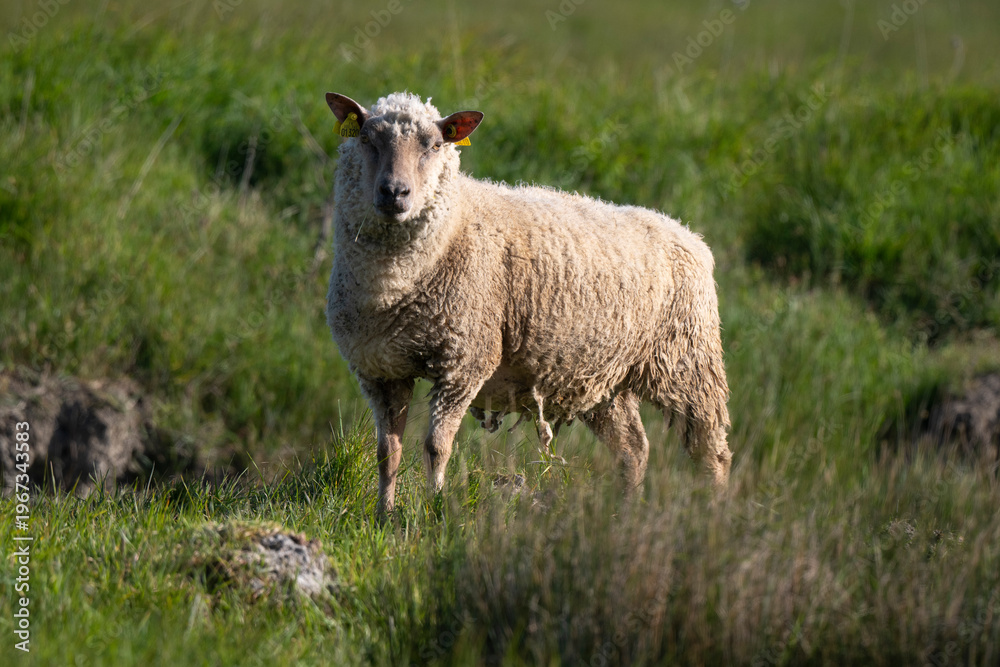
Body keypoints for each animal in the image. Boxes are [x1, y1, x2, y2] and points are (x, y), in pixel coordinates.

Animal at [324, 91, 732, 516]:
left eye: (435, 145)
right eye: (366, 139)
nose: (394, 193)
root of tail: (689, 234)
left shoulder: (466, 360)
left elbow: (437, 448)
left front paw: (435, 509)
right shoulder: (381, 369)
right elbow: (387, 453)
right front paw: (383, 516)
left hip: (689, 362)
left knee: (711, 451)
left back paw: (715, 515)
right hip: (602, 378)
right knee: (633, 448)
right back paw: (625, 514)